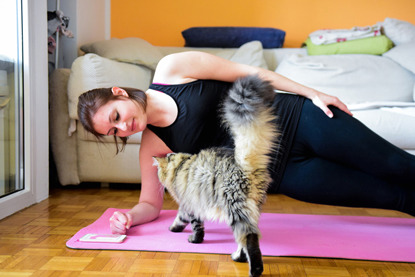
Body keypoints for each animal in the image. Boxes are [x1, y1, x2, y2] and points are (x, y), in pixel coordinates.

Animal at [153, 74, 280, 274]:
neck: (181, 165)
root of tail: (244, 164)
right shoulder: (192, 203)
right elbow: (188, 220)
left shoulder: (189, 203)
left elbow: (191, 223)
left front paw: (188, 236)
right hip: (252, 208)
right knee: (244, 239)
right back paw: (238, 257)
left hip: (235, 208)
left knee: (249, 238)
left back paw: (254, 269)